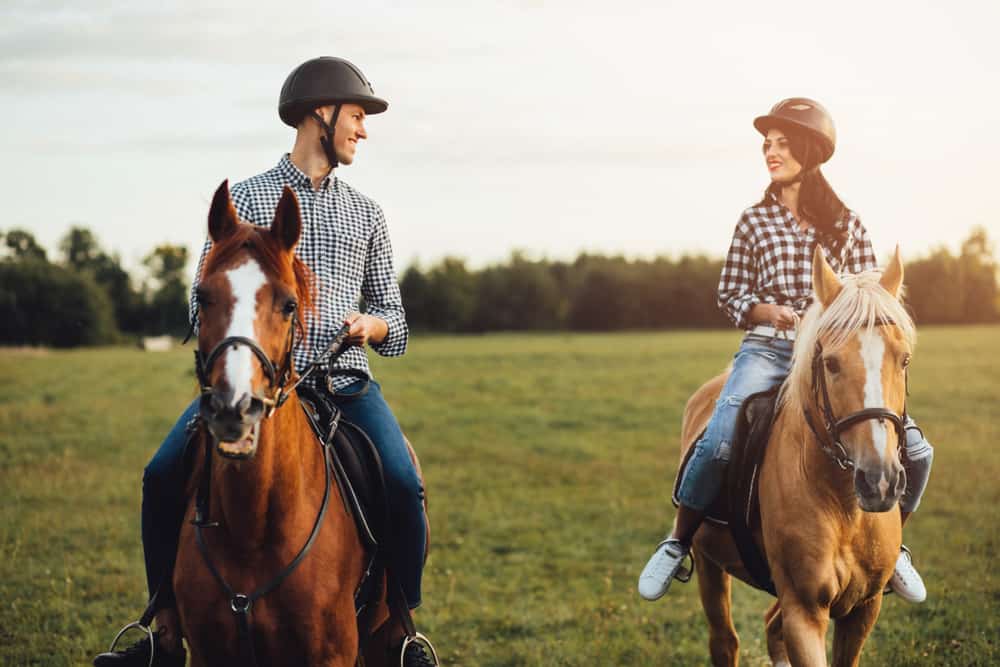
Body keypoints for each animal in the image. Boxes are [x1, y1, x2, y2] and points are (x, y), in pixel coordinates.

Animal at [172, 180, 418, 664]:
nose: (234, 408)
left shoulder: (331, 654)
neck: (254, 528)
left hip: (385, 632)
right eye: (203, 297)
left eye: (288, 305)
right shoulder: (210, 652)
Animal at [684, 247, 916, 667]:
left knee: (769, 627)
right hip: (708, 561)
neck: (845, 506)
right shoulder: (804, 612)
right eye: (832, 363)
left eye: (903, 360)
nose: (879, 481)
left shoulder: (864, 608)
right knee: (725, 640)